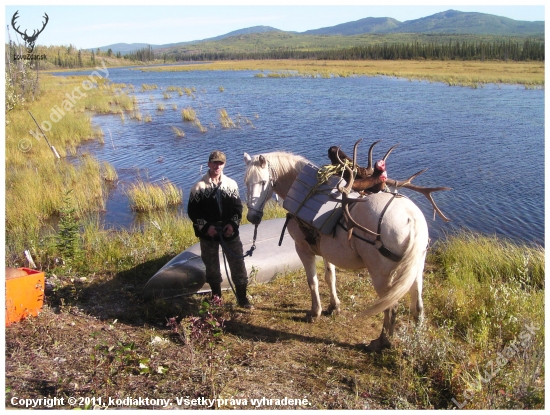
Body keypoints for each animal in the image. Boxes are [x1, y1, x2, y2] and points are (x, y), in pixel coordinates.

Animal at [246, 151, 432, 352]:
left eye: (263, 182)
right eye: (246, 182)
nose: (252, 217)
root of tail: (411, 218)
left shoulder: (302, 249)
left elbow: (312, 281)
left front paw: (315, 312)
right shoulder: (327, 251)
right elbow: (330, 277)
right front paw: (334, 307)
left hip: (382, 276)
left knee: (391, 306)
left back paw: (381, 342)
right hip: (416, 268)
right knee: (417, 306)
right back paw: (416, 341)